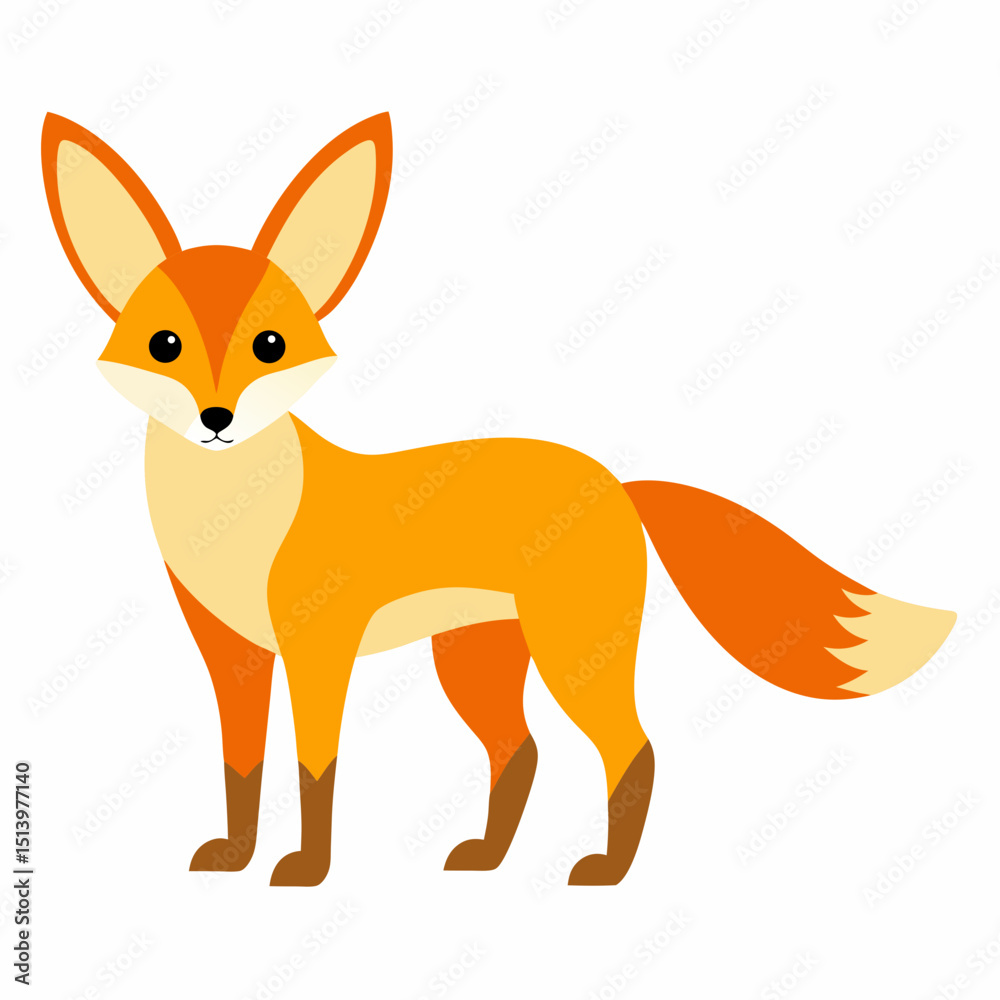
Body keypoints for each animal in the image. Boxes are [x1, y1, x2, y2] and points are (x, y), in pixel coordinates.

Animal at [41, 111, 957, 887]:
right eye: (164, 345)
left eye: (270, 344)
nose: (217, 419)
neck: (232, 523)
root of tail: (617, 482)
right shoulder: (230, 653)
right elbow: (241, 768)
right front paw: (235, 857)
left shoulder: (317, 648)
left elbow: (314, 770)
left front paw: (306, 870)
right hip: (475, 660)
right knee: (521, 751)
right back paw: (487, 858)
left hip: (570, 652)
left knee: (631, 749)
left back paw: (606, 871)